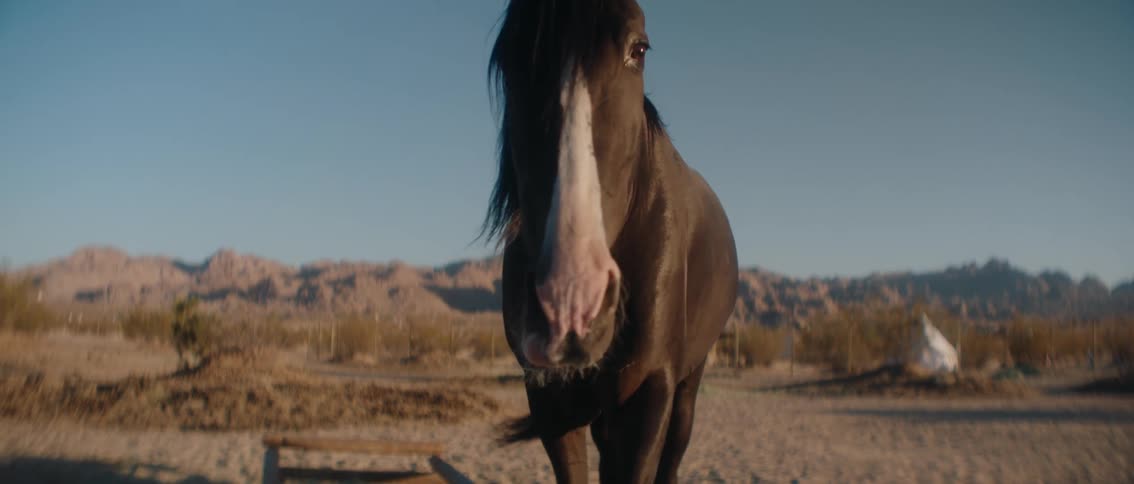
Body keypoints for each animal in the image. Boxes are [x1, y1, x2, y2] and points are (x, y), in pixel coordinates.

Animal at [481, 1, 738, 482]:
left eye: (639, 49)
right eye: (508, 57)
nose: (571, 303)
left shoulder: (648, 392)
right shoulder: (550, 402)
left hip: (688, 384)